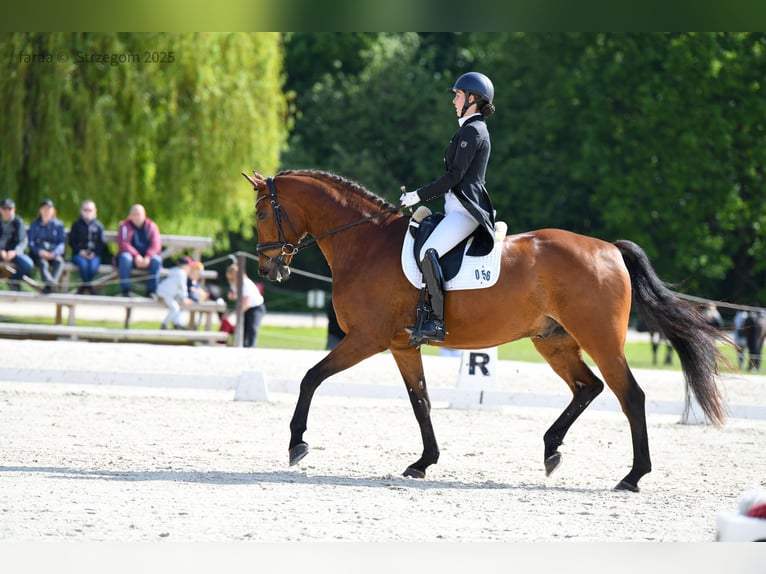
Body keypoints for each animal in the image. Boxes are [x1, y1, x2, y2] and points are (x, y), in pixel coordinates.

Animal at [243, 169, 731, 492]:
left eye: (264, 212)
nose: (268, 269)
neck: (364, 243)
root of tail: (609, 248)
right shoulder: (402, 345)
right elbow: (421, 402)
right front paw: (423, 462)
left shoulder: (367, 338)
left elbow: (311, 377)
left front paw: (297, 443)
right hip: (553, 340)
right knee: (587, 387)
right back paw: (552, 450)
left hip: (600, 339)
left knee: (630, 395)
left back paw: (632, 476)